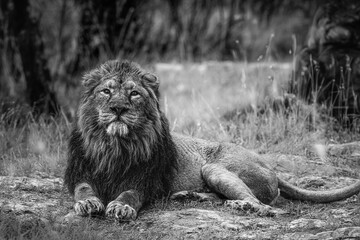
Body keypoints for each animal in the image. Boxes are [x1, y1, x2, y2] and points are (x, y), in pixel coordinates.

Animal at [64, 60, 360, 221]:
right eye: (106, 91)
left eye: (134, 94)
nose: (118, 108)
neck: (114, 146)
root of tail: (271, 168)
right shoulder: (80, 172)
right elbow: (83, 189)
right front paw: (88, 203)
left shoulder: (145, 180)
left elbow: (129, 194)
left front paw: (121, 207)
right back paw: (190, 195)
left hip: (214, 168)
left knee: (265, 205)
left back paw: (241, 205)